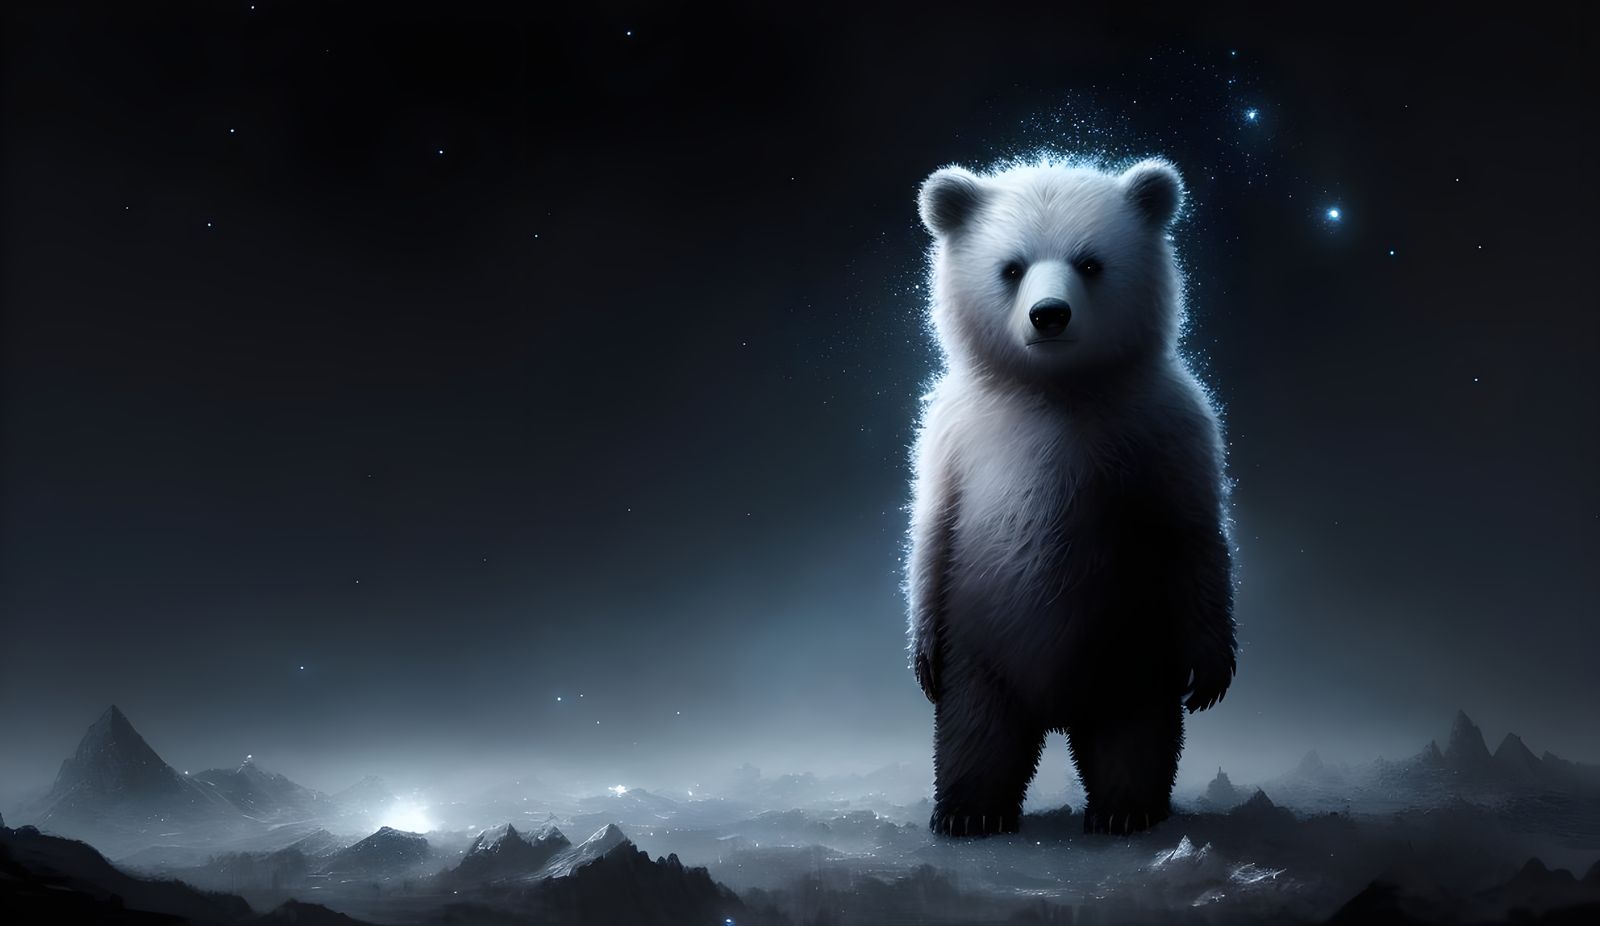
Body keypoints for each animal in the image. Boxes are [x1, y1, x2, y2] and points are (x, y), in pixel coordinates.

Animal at [904, 156, 1237, 837]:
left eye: (1090, 263)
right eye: (1012, 267)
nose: (1049, 315)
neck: (1055, 390)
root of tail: (1056, 712)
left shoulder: (1168, 423)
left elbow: (1194, 529)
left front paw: (1214, 668)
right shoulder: (954, 432)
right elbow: (931, 526)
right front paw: (918, 653)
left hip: (1135, 639)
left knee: (1136, 732)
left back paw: (1126, 811)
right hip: (981, 643)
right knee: (975, 730)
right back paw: (970, 813)